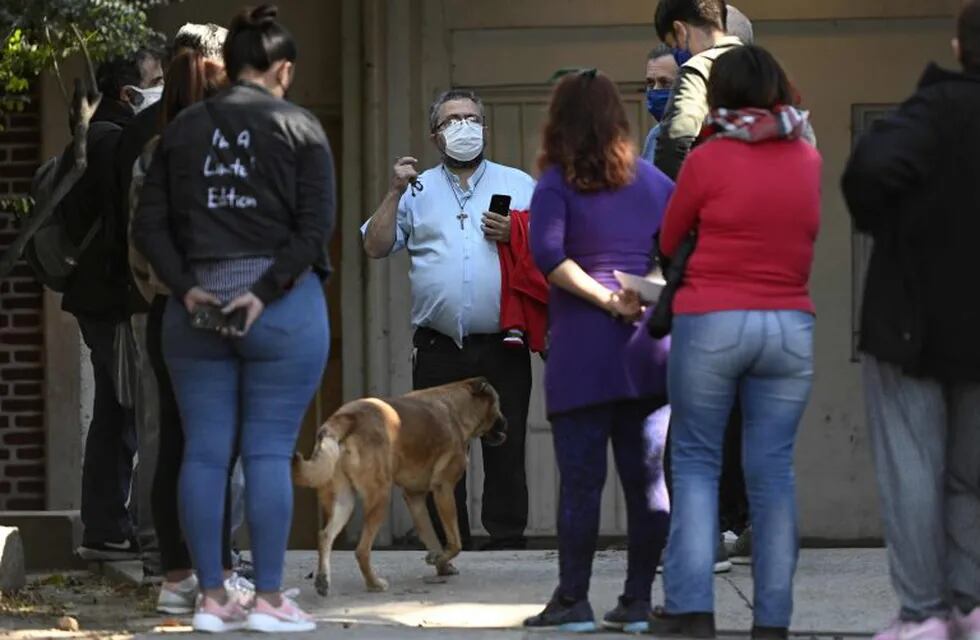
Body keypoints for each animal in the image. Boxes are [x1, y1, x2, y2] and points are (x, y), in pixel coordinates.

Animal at [290, 378, 506, 596]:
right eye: (498, 403)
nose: (506, 424)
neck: (457, 407)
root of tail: (346, 417)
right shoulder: (443, 489)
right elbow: (455, 543)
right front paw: (440, 560)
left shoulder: (415, 497)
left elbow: (431, 536)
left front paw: (440, 564)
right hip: (380, 497)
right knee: (361, 550)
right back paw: (374, 583)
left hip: (344, 500)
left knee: (325, 535)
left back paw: (323, 580)